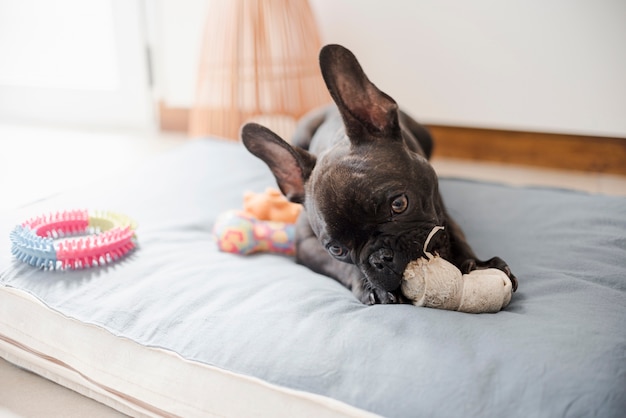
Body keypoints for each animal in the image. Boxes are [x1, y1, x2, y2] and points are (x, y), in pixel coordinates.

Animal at [241, 45, 516, 304]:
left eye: (399, 204)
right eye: (337, 249)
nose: (381, 258)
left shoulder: (441, 210)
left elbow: (457, 234)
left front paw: (477, 264)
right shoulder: (307, 244)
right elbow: (343, 267)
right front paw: (371, 288)